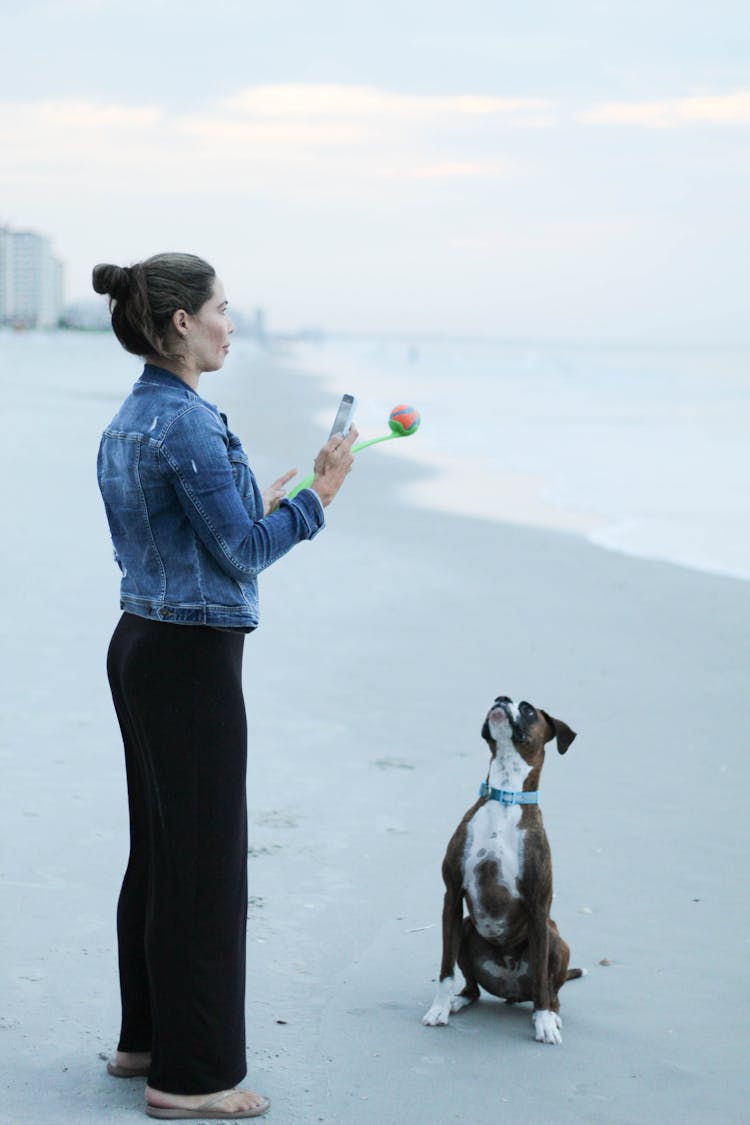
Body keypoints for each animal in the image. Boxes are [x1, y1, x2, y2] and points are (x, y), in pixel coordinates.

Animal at [422, 693, 580, 1044]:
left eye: (528, 710)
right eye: (501, 697)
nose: (502, 699)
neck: (506, 796)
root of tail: (511, 991)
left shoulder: (539, 907)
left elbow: (542, 981)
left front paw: (544, 1022)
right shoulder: (452, 897)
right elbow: (445, 969)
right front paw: (439, 1008)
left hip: (555, 938)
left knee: (550, 990)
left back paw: (549, 1014)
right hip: (466, 928)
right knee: (473, 988)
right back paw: (457, 1001)